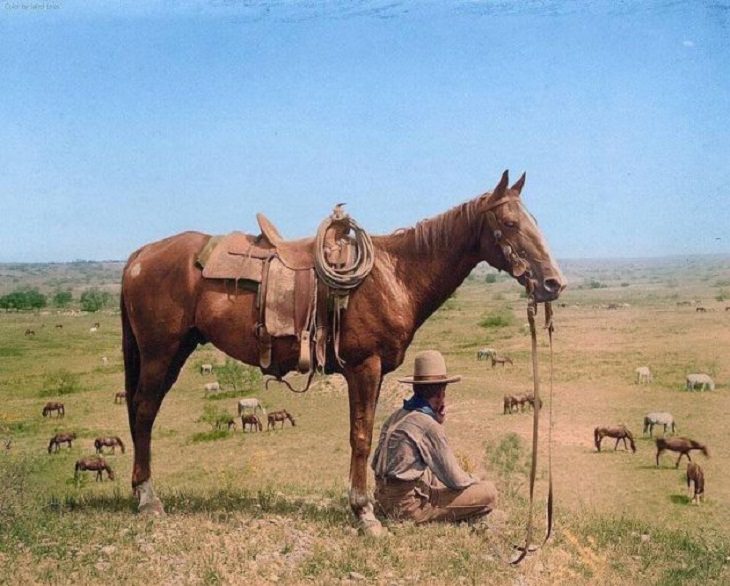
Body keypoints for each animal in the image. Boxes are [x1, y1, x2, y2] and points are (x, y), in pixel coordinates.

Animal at [119, 171, 564, 532]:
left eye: (535, 221)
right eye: (510, 223)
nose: (553, 282)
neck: (394, 275)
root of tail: (139, 257)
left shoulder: (376, 370)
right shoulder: (363, 367)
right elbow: (361, 436)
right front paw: (364, 513)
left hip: (175, 352)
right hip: (160, 353)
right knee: (144, 412)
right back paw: (148, 499)